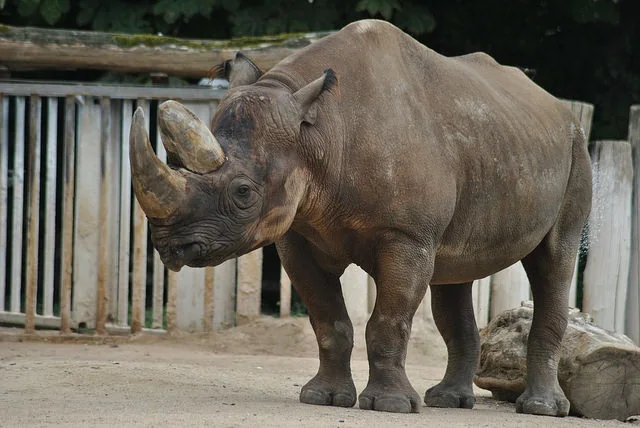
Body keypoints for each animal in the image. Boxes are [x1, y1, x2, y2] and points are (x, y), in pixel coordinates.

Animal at [129, 19, 591, 417]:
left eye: (243, 192)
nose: (171, 246)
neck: (318, 133)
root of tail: (558, 106)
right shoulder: (297, 235)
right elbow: (327, 318)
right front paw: (323, 398)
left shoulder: (407, 235)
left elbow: (388, 321)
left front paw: (390, 406)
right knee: (454, 275)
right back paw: (448, 401)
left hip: (574, 148)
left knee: (555, 260)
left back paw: (540, 408)